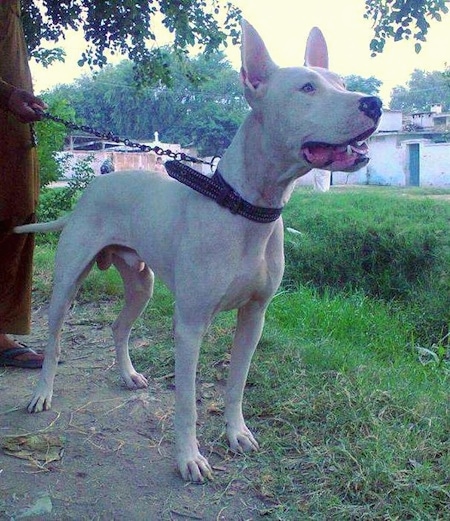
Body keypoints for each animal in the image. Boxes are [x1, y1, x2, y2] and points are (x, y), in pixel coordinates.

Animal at [14, 21, 380, 484]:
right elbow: (186, 402)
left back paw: (127, 374)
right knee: (55, 340)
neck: (244, 208)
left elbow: (237, 385)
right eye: (307, 87)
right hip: (67, 285)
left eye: (343, 84)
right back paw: (41, 393)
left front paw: (237, 433)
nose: (374, 103)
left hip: (142, 285)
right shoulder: (189, 326)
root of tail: (96, 185)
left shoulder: (254, 317)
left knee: (119, 327)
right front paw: (189, 458)